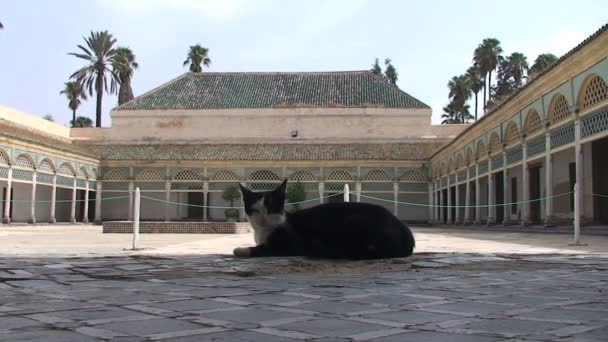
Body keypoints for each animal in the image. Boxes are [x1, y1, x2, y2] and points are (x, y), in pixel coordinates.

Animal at [233, 179, 414, 260]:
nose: (263, 220)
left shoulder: (291, 244)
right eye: (255, 210)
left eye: (271, 209)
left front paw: (240, 250)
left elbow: (262, 249)